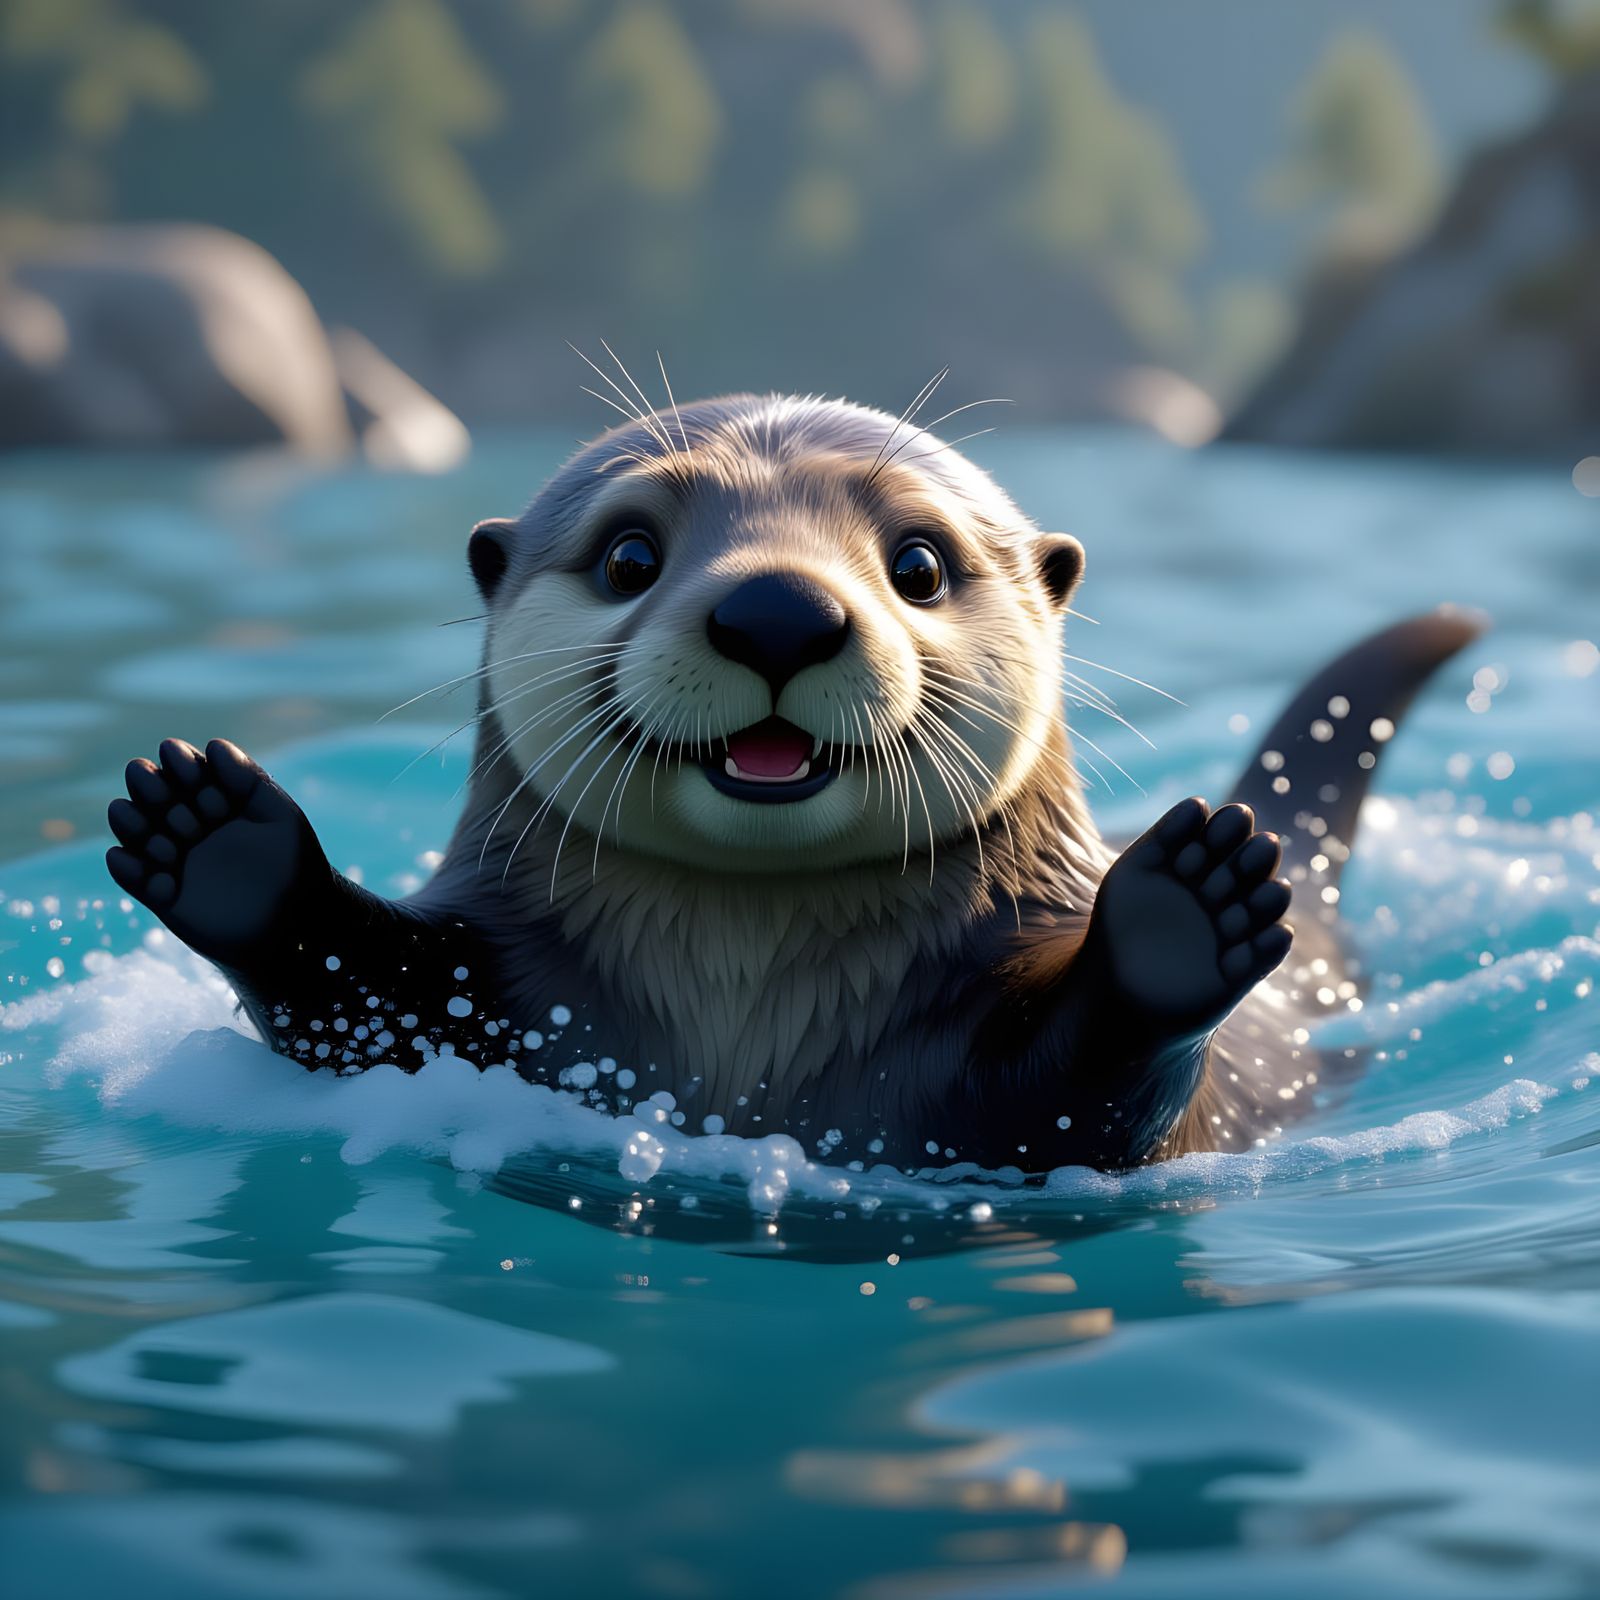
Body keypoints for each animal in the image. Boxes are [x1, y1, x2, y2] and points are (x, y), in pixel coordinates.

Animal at [104, 392, 1479, 1171]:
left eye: (917, 563)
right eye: (630, 554)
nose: (776, 609)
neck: (745, 1008)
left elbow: (1089, 1103)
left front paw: (1184, 909)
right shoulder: (497, 998)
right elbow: (359, 1003)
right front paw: (216, 836)